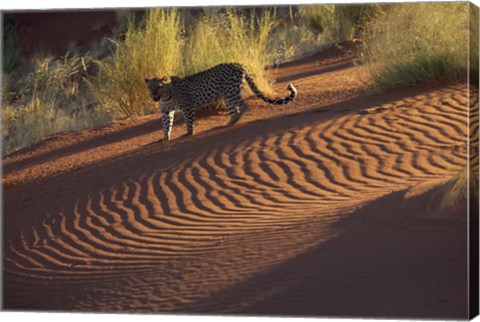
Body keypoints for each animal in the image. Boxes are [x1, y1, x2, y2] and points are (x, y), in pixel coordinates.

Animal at [144, 63, 298, 141]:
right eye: (150, 87)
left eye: (159, 86)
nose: (153, 94)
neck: (166, 97)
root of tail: (239, 64)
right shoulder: (166, 112)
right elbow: (166, 125)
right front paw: (165, 137)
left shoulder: (188, 107)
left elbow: (189, 122)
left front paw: (189, 133)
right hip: (228, 96)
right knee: (236, 109)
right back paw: (230, 122)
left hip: (229, 93)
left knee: (243, 105)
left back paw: (233, 121)